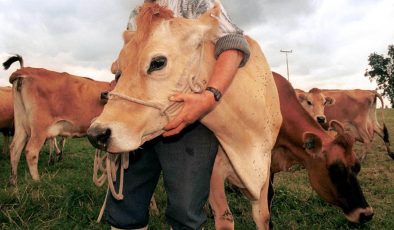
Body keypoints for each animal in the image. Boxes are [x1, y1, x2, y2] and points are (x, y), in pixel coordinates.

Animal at [87, 4, 282, 230]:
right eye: (117, 72)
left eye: (158, 62)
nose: (96, 133)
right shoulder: (214, 173)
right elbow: (225, 218)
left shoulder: (265, 169)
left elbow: (263, 217)